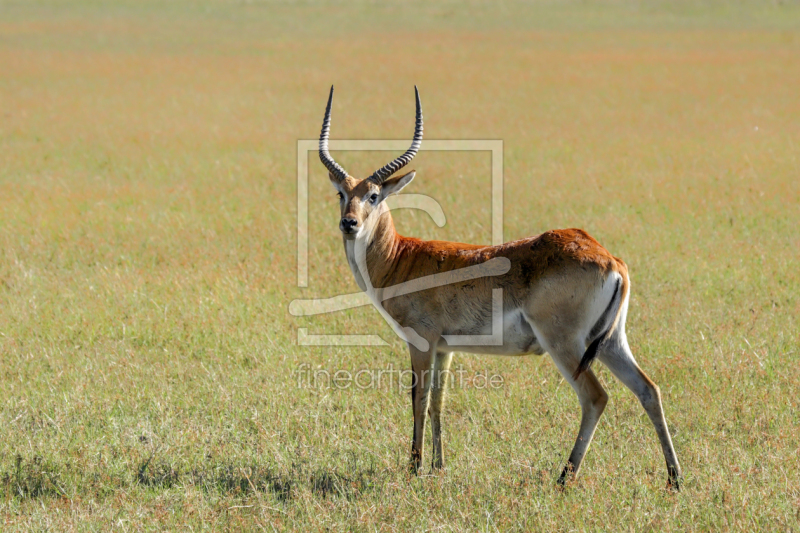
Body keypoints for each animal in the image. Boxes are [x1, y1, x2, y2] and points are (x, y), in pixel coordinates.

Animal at [318, 86, 680, 486]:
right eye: (341, 194)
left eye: (373, 196)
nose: (349, 223)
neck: (402, 256)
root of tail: (609, 257)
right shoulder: (445, 348)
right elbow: (439, 401)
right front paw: (438, 466)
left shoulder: (421, 342)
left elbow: (419, 399)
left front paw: (414, 467)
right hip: (610, 342)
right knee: (649, 389)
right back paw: (674, 479)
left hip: (565, 345)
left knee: (595, 397)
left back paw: (564, 478)